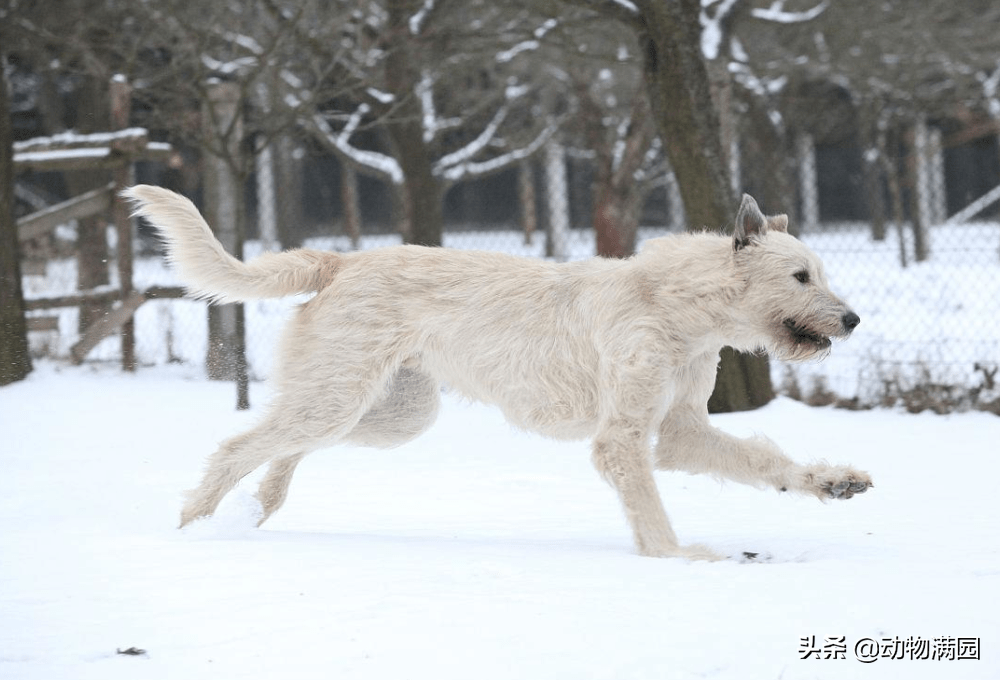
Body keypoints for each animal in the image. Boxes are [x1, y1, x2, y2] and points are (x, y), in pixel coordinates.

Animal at [127, 185, 876, 556]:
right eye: (801, 275)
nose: (852, 320)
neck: (674, 306)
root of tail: (342, 261)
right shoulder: (622, 439)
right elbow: (651, 509)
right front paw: (679, 560)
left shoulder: (679, 432)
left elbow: (762, 461)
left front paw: (831, 482)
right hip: (344, 396)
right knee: (240, 444)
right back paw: (197, 522)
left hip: (391, 412)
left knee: (288, 446)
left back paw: (259, 505)